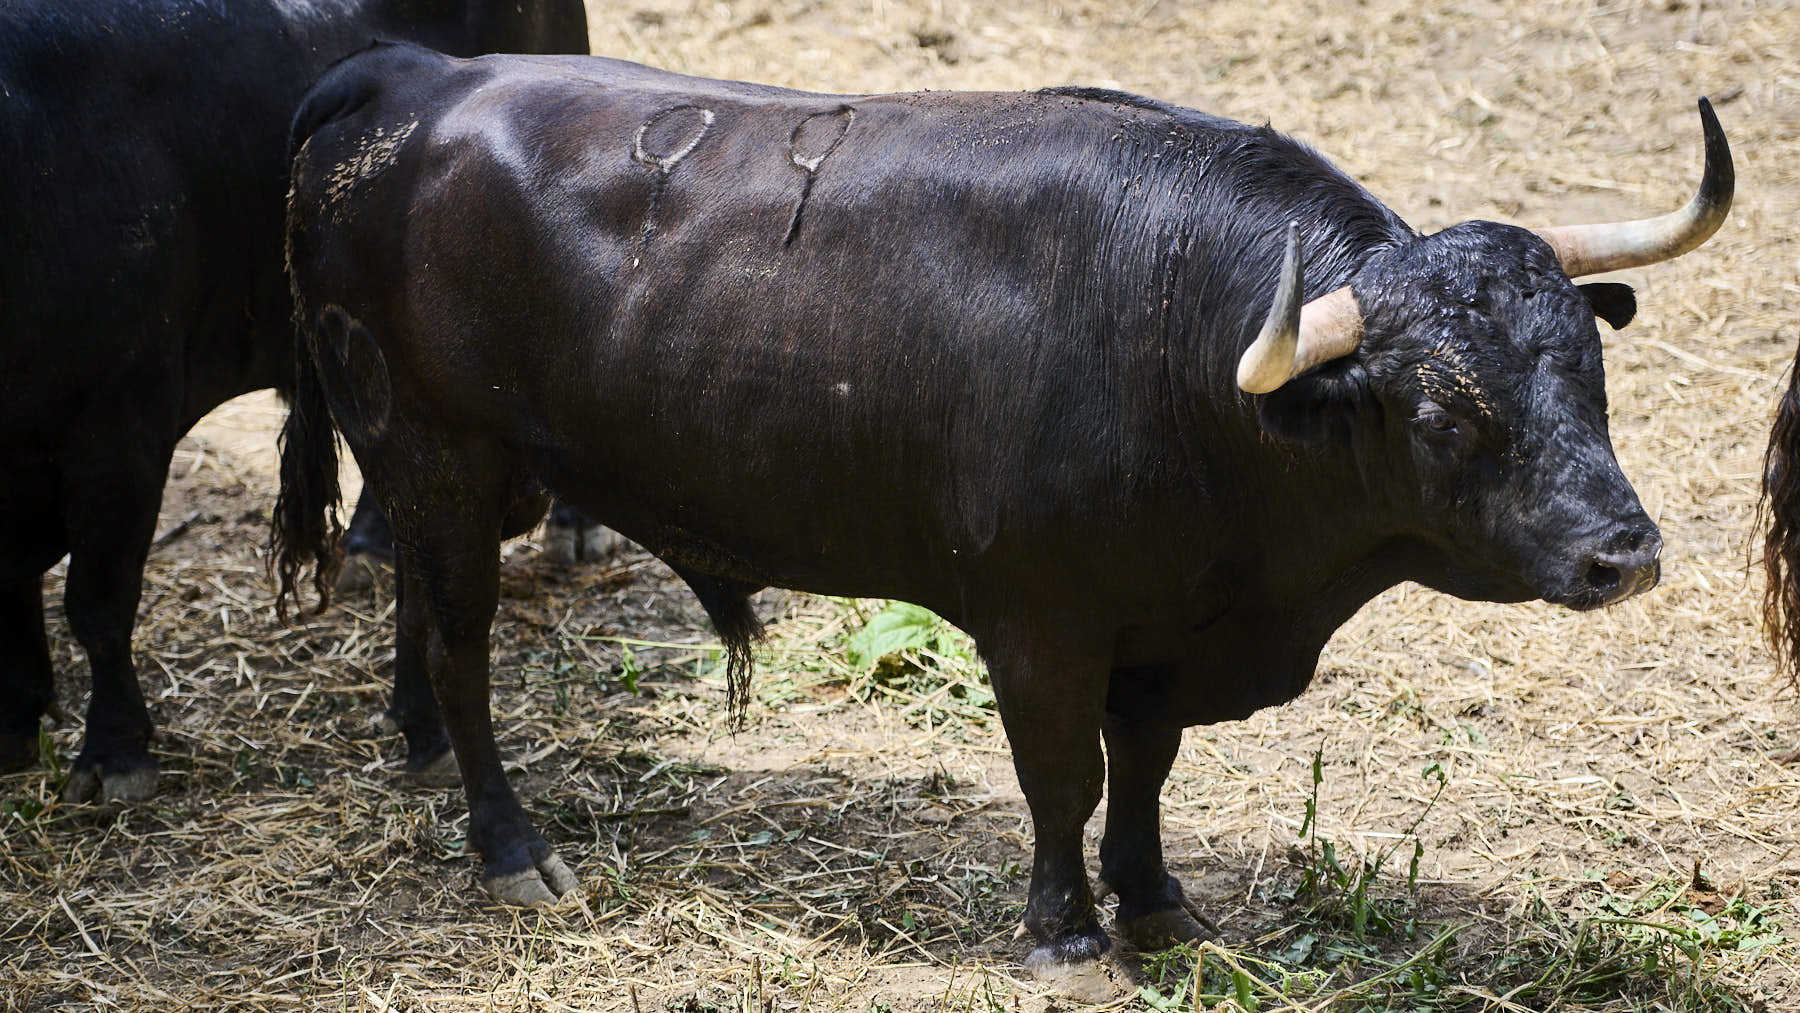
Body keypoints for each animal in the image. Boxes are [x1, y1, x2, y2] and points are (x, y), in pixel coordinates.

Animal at [277, 45, 1728, 993]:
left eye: (1587, 373)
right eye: (1440, 414)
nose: (1625, 552)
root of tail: (415, 78)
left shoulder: (1161, 628)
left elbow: (1145, 766)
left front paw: (1155, 900)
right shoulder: (1040, 623)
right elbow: (1062, 773)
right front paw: (1065, 931)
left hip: (445, 475)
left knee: (418, 616)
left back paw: (419, 752)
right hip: (442, 457)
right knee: (462, 648)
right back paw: (510, 844)